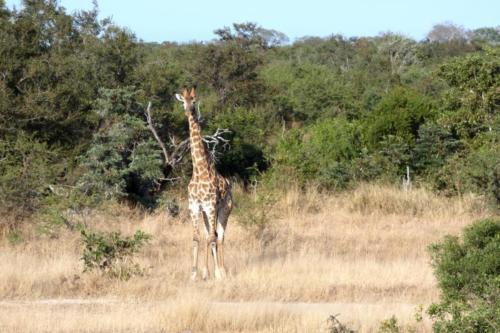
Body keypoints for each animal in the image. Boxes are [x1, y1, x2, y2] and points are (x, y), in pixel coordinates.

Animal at [175, 87, 233, 278]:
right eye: (182, 101)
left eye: (193, 101)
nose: (187, 111)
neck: (199, 171)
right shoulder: (194, 207)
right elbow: (196, 238)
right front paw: (195, 273)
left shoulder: (210, 205)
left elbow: (212, 238)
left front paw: (213, 274)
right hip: (207, 213)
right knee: (211, 234)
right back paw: (213, 270)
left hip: (224, 210)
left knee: (220, 236)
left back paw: (222, 271)